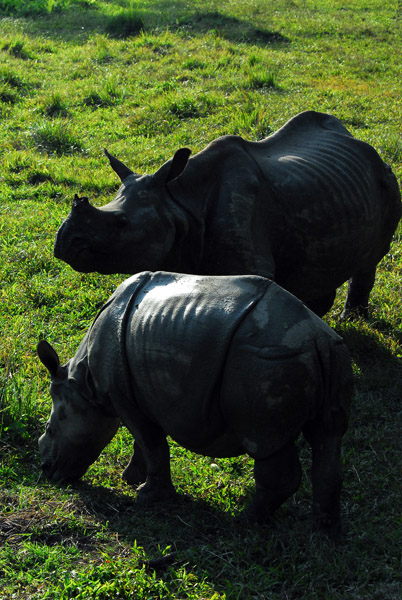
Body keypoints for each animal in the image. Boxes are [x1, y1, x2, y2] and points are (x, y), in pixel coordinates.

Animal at [37, 270, 352, 536]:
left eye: (50, 430)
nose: (46, 471)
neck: (84, 384)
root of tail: (317, 339)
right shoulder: (138, 396)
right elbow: (144, 442)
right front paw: (131, 479)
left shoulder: (122, 395)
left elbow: (151, 443)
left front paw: (146, 496)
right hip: (330, 356)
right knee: (328, 437)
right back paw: (324, 533)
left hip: (268, 361)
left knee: (264, 443)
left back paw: (244, 523)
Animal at [54, 111, 402, 318]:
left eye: (122, 222)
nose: (64, 243)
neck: (180, 202)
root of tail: (358, 140)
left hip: (386, 177)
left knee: (371, 258)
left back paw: (351, 317)